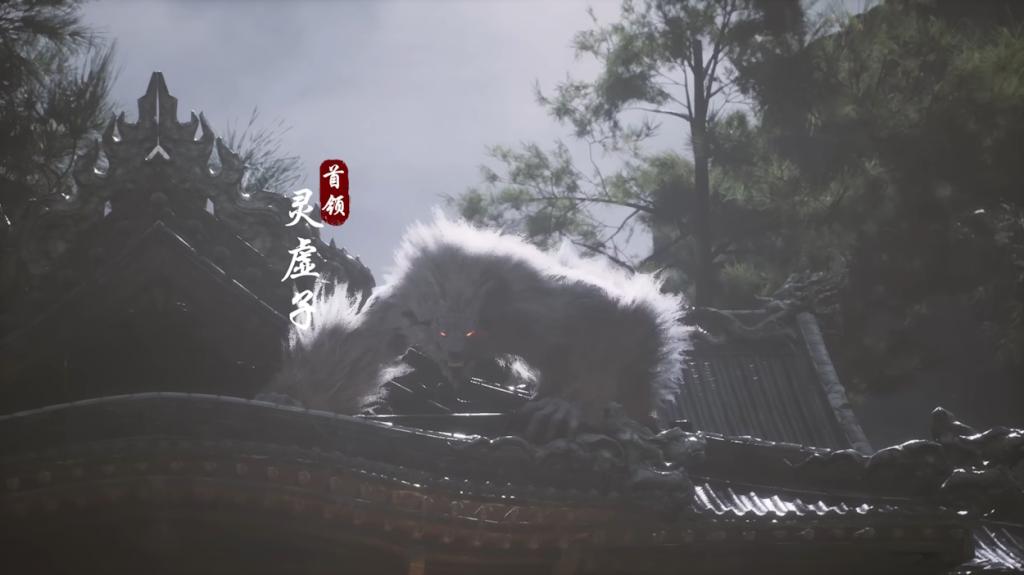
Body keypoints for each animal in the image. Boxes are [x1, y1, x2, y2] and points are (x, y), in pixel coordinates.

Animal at [266, 214, 690, 441]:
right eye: (437, 335)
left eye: (469, 332)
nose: (454, 357)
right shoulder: (389, 315)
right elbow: (348, 356)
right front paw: (294, 398)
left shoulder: (550, 306)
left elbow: (606, 324)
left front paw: (570, 407)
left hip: (642, 343)